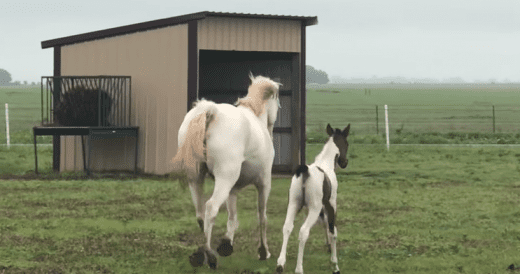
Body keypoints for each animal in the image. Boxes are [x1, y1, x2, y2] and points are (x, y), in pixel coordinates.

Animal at [172, 74, 280, 268]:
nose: (271, 128)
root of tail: (211, 111)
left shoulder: (233, 189)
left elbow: (232, 217)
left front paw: (227, 244)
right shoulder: (264, 184)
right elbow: (262, 217)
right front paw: (263, 251)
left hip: (196, 179)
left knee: (200, 213)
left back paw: (200, 255)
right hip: (224, 179)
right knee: (211, 207)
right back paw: (210, 256)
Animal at [276, 123, 350, 274]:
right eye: (347, 143)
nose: (345, 162)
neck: (326, 163)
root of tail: (305, 171)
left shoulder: (311, 208)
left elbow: (325, 225)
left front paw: (329, 248)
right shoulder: (331, 204)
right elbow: (332, 230)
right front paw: (335, 264)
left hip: (293, 204)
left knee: (287, 227)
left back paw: (280, 264)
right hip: (314, 209)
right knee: (303, 232)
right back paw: (299, 268)